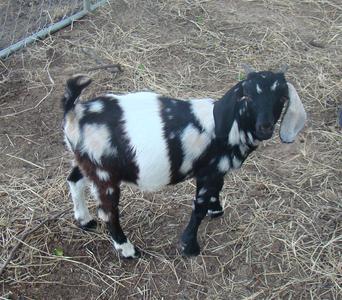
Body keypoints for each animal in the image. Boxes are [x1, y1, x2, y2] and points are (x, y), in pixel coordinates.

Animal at [62, 65, 308, 258]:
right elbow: (198, 207)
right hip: (104, 174)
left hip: (88, 163)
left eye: (282, 98)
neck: (231, 126)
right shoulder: (209, 171)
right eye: (247, 96)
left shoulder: (216, 172)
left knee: (74, 179)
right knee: (108, 212)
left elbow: (217, 190)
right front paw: (189, 246)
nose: (265, 127)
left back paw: (85, 220)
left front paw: (216, 210)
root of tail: (75, 113)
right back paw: (128, 250)